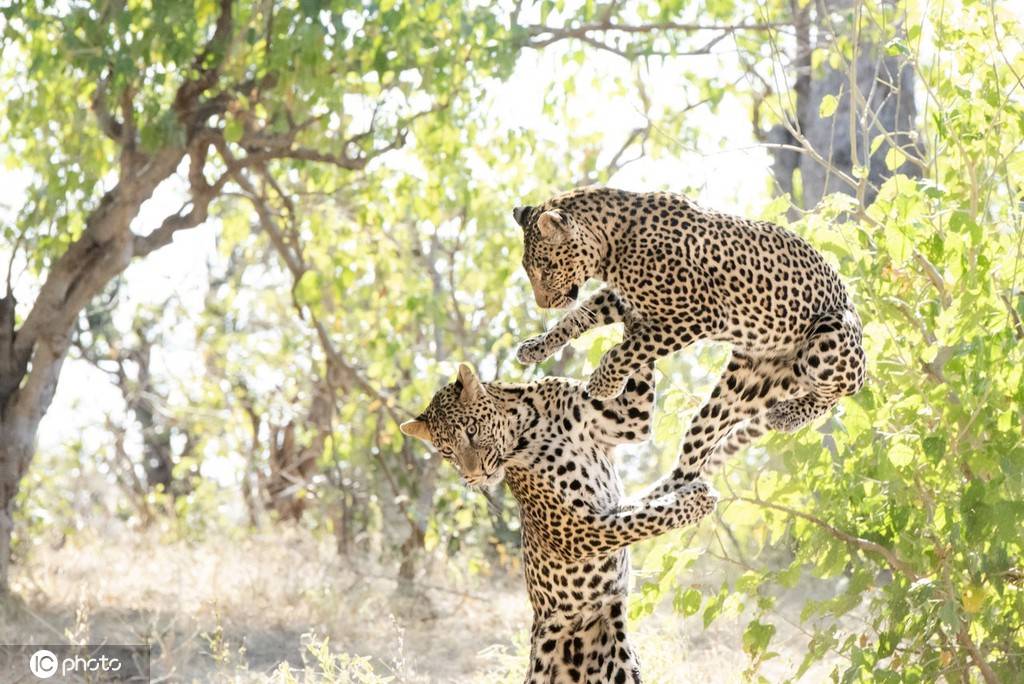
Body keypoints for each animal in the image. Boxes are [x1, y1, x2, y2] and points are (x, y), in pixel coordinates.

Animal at [395, 358, 716, 684]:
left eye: (471, 430)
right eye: (447, 451)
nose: (473, 475)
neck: (531, 421)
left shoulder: (628, 416)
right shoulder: (576, 530)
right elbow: (643, 519)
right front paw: (697, 500)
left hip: (622, 664)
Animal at [512, 184, 864, 479]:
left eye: (546, 268)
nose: (544, 304)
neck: (613, 244)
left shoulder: (699, 315)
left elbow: (626, 351)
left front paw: (603, 384)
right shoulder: (625, 299)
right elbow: (577, 318)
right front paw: (536, 347)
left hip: (830, 336)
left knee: (838, 391)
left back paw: (789, 415)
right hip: (742, 388)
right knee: (697, 449)